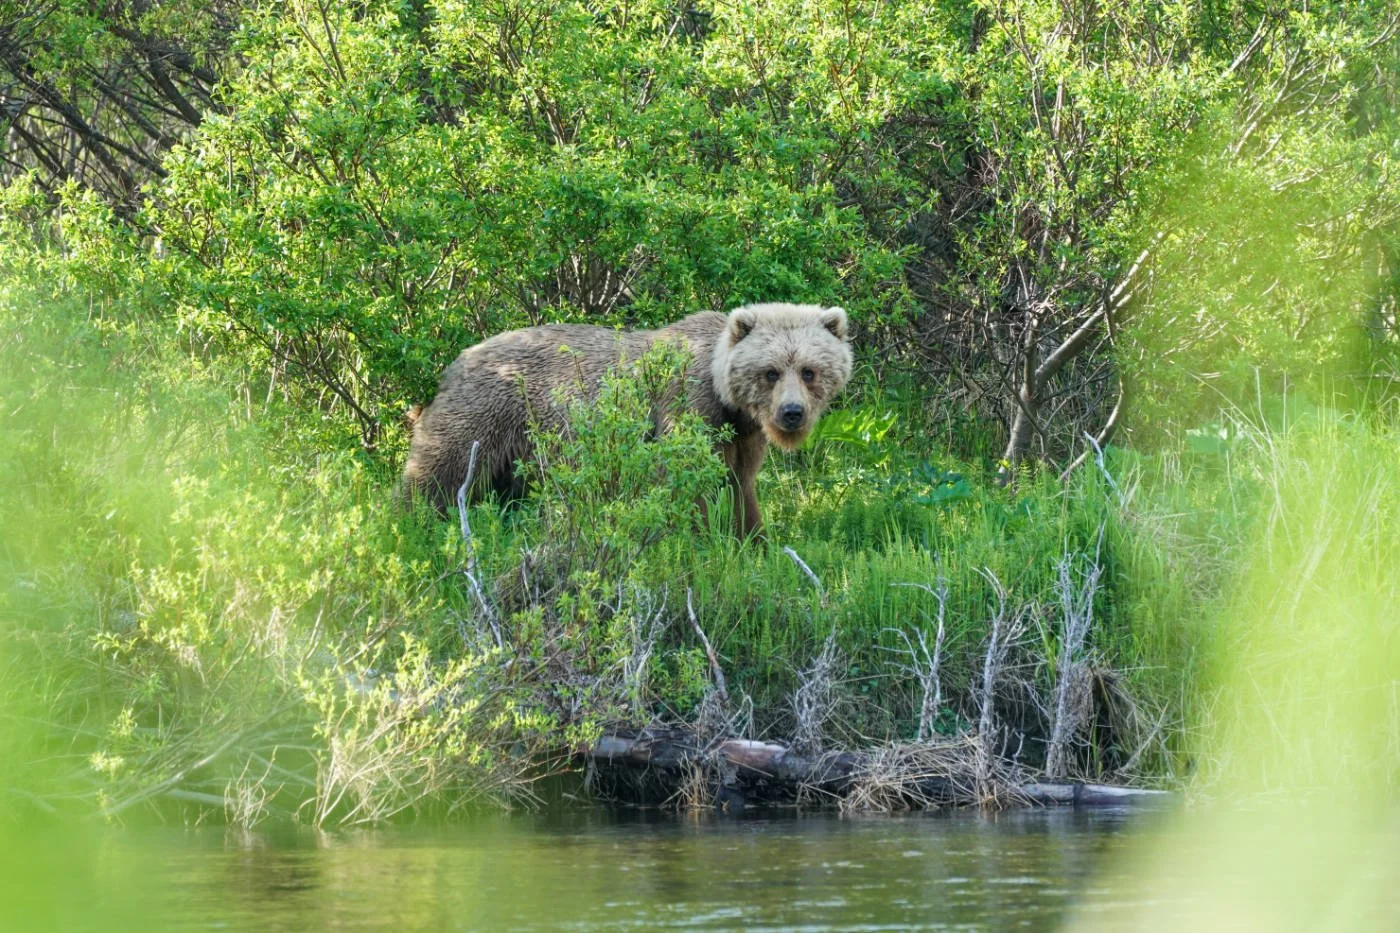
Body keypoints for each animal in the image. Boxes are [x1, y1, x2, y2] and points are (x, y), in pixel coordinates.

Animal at [401, 302, 853, 538]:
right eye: (771, 371)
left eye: (809, 370)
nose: (791, 413)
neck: (727, 400)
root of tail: (457, 360)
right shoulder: (687, 406)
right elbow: (688, 482)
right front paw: (699, 540)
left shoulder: (742, 435)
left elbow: (740, 487)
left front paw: (755, 540)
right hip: (487, 412)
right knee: (438, 470)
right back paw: (411, 525)